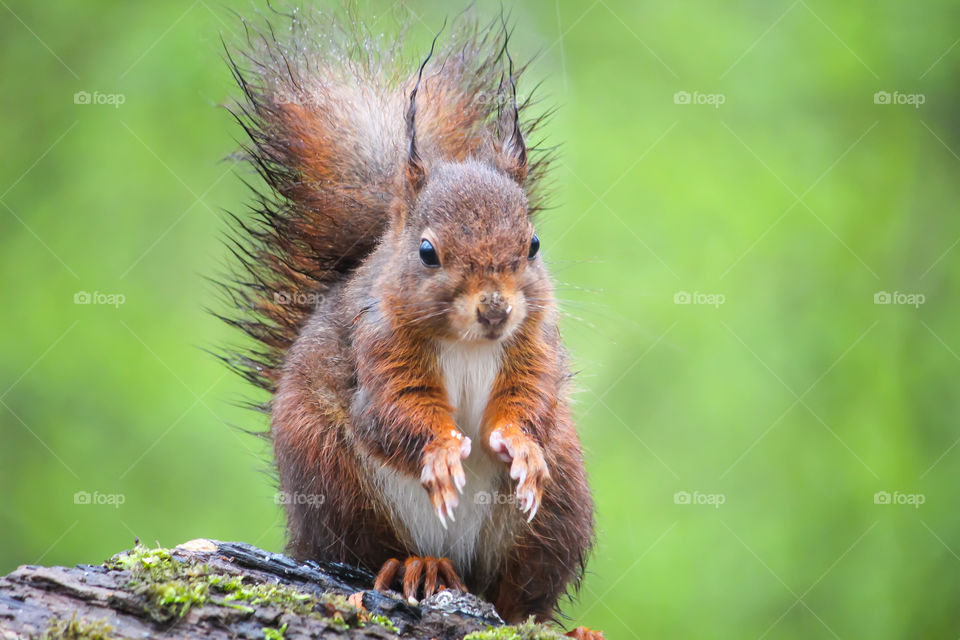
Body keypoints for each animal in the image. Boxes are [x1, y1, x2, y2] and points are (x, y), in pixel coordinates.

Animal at [218, 7, 598, 635]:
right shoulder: (378, 345)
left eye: (534, 244)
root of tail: (456, 559)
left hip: (560, 506)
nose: (495, 309)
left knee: (518, 592)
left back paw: (552, 620)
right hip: (330, 477)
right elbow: (392, 412)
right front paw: (441, 452)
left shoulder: (533, 343)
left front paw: (519, 445)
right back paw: (414, 567)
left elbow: (530, 399)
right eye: (427, 252)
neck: (469, 343)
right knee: (368, 550)